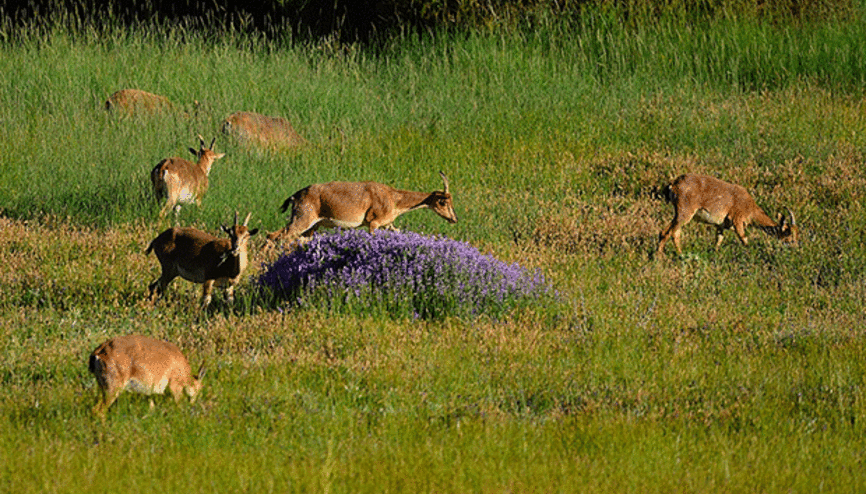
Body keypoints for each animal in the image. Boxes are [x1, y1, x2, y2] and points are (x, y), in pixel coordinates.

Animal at [264, 172, 456, 245]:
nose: (454, 219)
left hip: (312, 227)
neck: (392, 198)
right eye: (443, 202)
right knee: (273, 236)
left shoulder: (389, 226)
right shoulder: (373, 224)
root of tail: (297, 195)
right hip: (302, 221)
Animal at [656, 174, 796, 256]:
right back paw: (671, 255)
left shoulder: (721, 226)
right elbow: (744, 239)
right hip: (684, 214)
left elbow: (719, 239)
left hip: (679, 215)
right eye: (789, 235)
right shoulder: (738, 220)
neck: (749, 207)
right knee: (671, 233)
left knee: (669, 232)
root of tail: (674, 184)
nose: (795, 248)